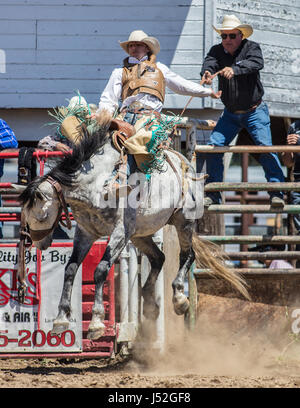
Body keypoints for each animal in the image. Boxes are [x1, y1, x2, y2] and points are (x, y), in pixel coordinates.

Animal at [18, 111, 248, 342]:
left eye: (41, 215)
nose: (40, 244)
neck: (98, 182)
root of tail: (185, 162)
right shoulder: (86, 233)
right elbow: (71, 269)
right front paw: (61, 319)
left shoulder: (120, 231)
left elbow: (101, 270)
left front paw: (96, 322)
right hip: (140, 234)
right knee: (159, 258)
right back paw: (150, 304)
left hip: (184, 220)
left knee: (187, 255)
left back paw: (180, 299)